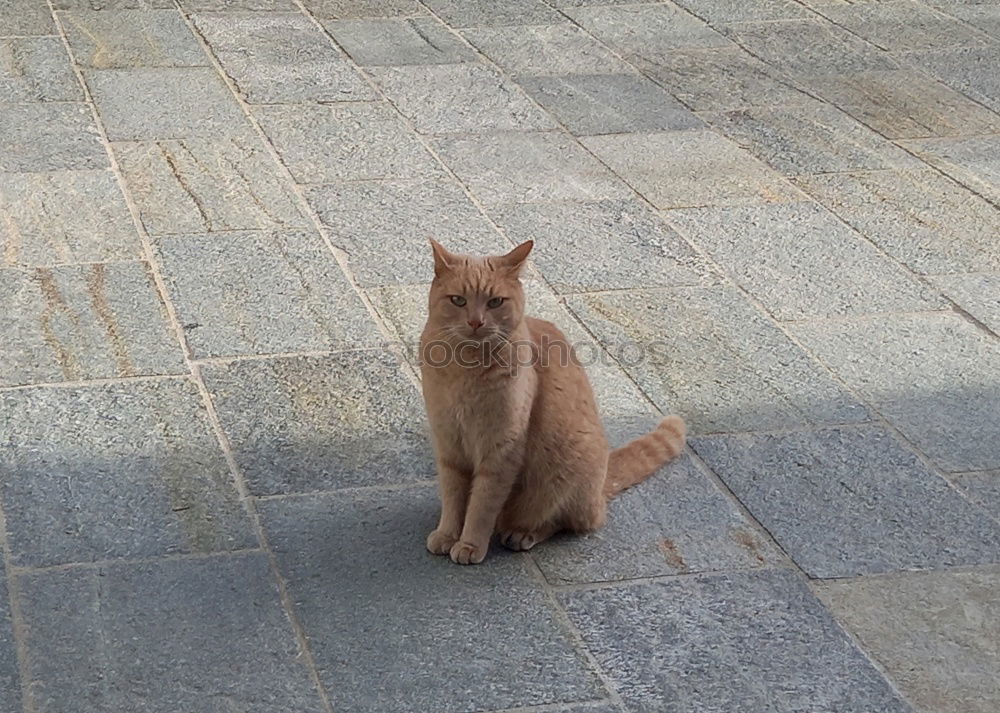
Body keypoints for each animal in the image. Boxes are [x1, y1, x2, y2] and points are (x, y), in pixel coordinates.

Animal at [418, 239, 684, 560]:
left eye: (495, 302)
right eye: (458, 300)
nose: (475, 321)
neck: (465, 368)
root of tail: (600, 486)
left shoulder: (500, 450)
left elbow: (481, 505)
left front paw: (470, 544)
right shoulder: (449, 445)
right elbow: (454, 496)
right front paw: (448, 534)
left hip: (564, 474)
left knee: (568, 522)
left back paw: (521, 533)